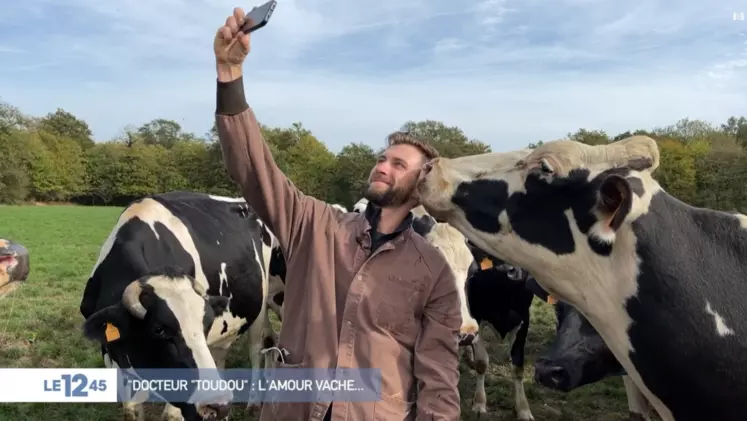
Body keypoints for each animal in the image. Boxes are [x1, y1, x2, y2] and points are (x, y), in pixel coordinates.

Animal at [79, 191, 278, 420]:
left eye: (205, 324)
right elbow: (131, 409)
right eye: (158, 329)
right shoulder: (112, 354)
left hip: (260, 307)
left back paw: (253, 403)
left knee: (256, 349)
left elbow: (171, 415)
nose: (218, 405)